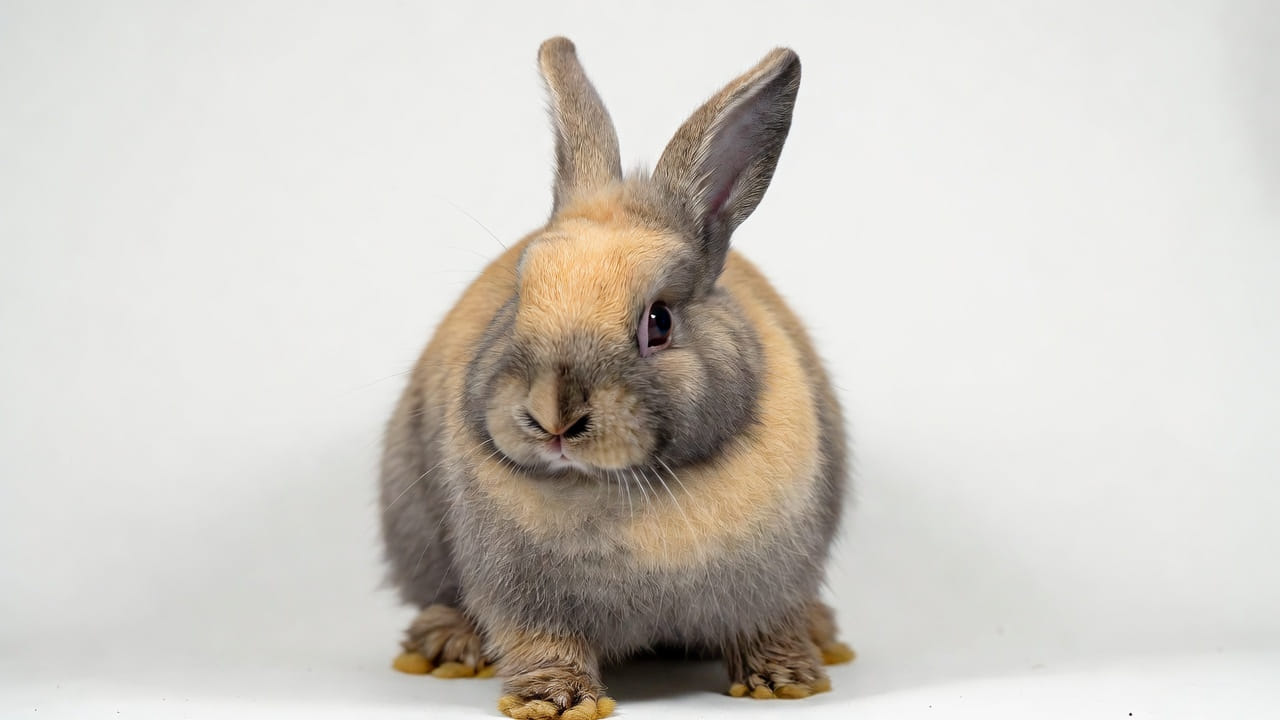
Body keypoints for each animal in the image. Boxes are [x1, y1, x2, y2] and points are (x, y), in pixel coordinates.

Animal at [379, 36, 853, 720]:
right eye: (518, 296)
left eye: (659, 321)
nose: (552, 415)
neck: (625, 488)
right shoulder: (522, 597)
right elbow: (541, 642)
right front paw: (555, 703)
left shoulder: (774, 582)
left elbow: (768, 624)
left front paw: (786, 682)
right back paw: (444, 648)